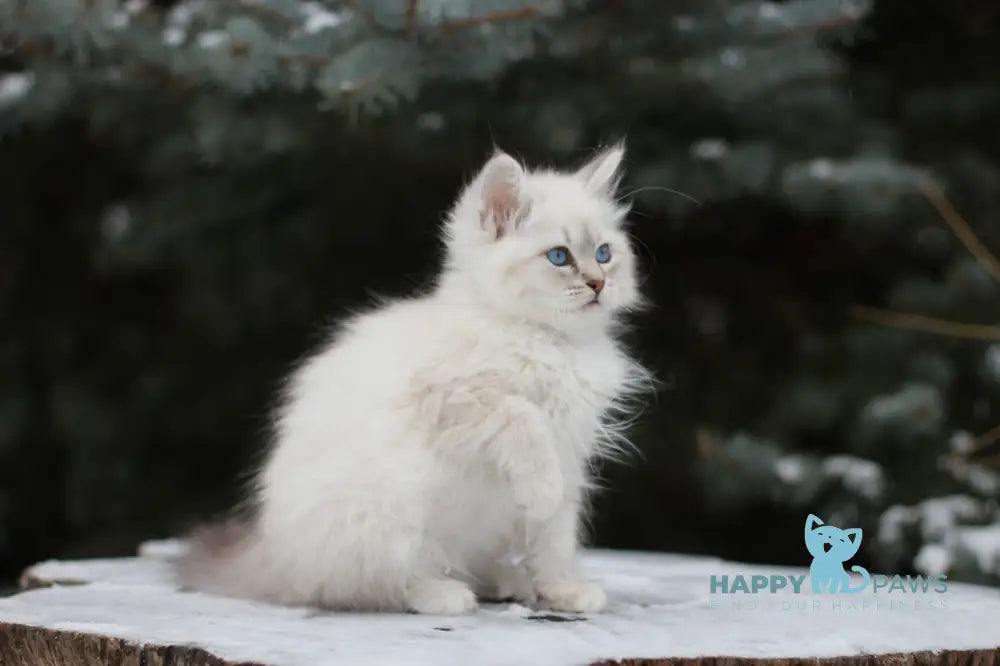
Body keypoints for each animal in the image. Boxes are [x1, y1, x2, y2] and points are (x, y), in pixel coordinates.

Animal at [176, 143, 652, 616]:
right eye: (559, 257)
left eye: (604, 254)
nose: (598, 283)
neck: (553, 341)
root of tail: (275, 557)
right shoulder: (462, 399)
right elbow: (523, 421)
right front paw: (541, 491)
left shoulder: (570, 449)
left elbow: (554, 539)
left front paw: (563, 591)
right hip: (388, 512)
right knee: (376, 584)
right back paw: (443, 594)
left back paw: (505, 581)